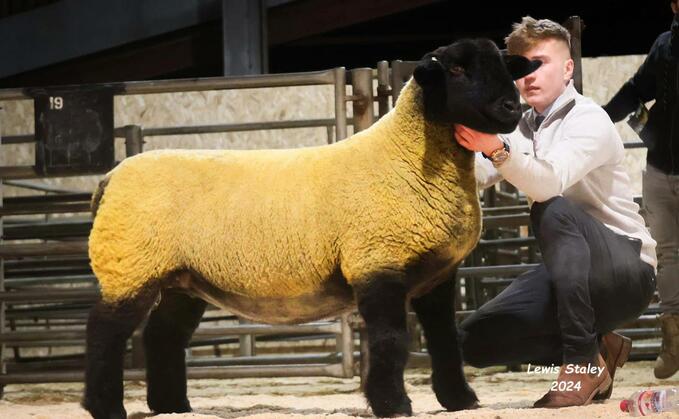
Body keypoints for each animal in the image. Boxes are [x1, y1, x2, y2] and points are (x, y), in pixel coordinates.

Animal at [82, 37, 536, 418]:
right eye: (456, 70)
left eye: (503, 65)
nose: (512, 108)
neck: (405, 158)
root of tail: (110, 179)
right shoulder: (377, 262)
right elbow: (390, 339)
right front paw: (393, 405)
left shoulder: (437, 275)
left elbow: (445, 338)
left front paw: (460, 401)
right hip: (128, 265)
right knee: (105, 332)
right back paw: (105, 407)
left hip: (182, 278)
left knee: (163, 335)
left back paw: (171, 406)